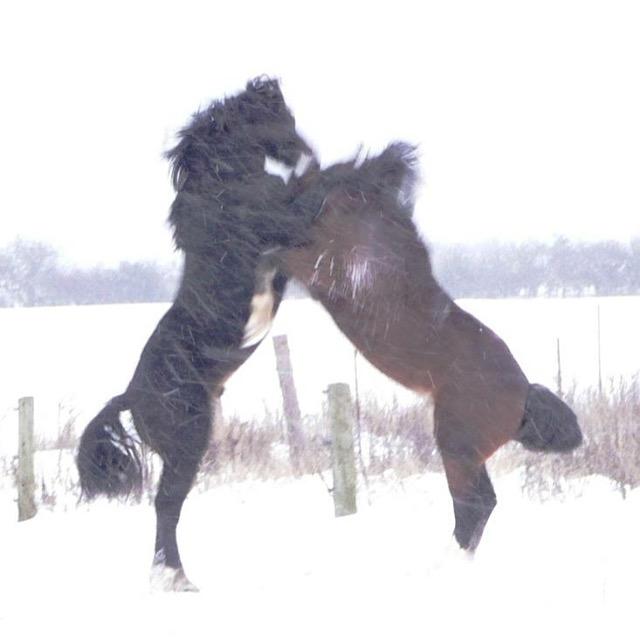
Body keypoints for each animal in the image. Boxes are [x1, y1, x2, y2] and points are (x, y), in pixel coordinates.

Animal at [77, 77, 320, 592]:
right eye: (281, 117)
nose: (305, 151)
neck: (224, 187)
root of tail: (130, 396)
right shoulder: (285, 224)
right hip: (188, 444)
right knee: (166, 505)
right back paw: (176, 576)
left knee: (167, 507)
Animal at [282, 144, 584, 552]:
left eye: (331, 179)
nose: (293, 192)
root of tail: (524, 393)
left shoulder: (319, 267)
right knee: (481, 503)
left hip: (456, 444)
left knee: (475, 504)